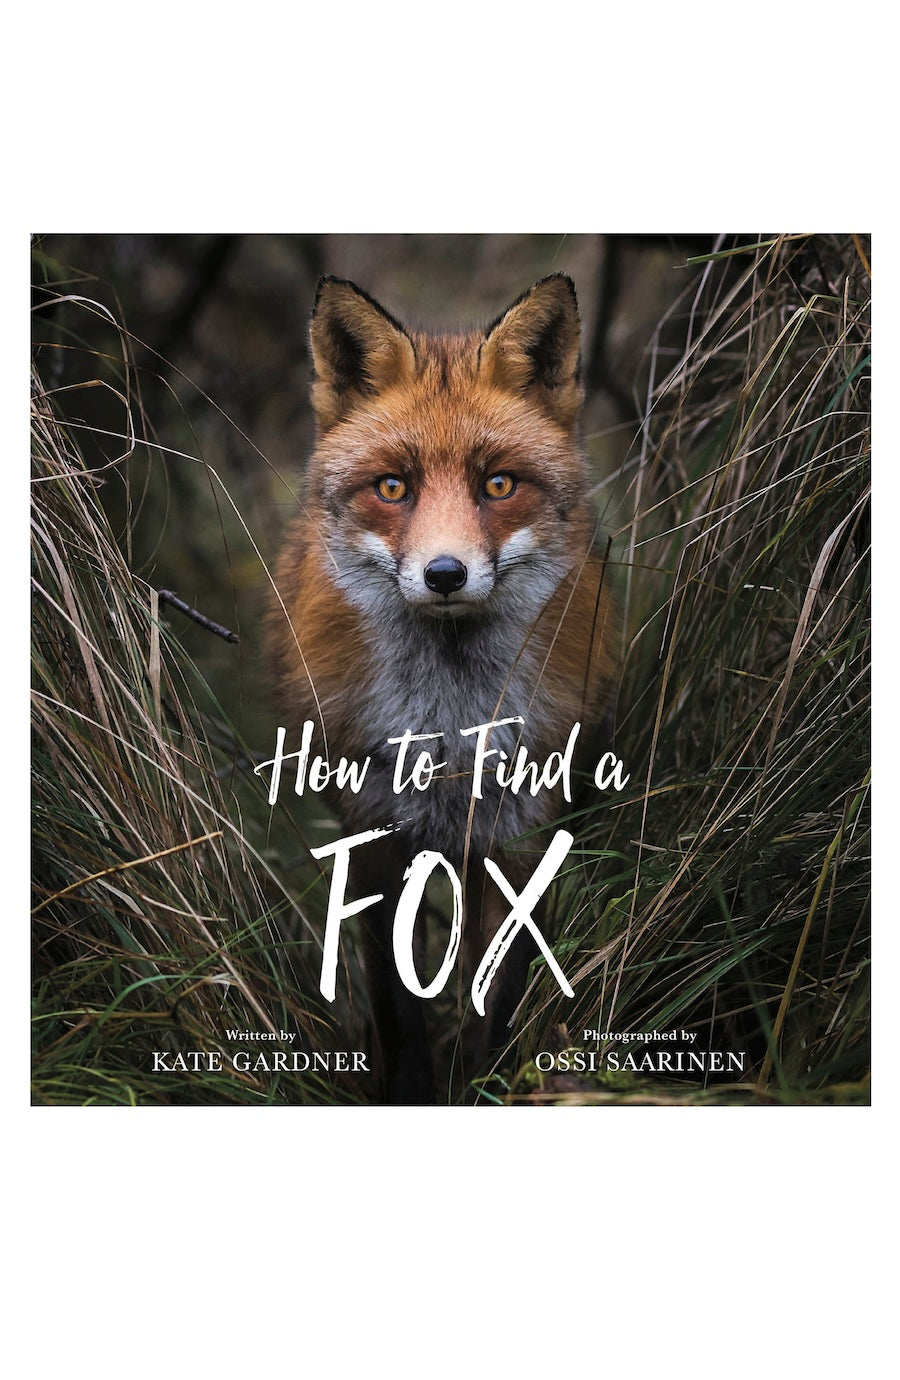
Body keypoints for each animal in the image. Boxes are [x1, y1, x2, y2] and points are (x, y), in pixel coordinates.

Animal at [266, 273, 616, 1103]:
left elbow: (499, 994)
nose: (446, 574)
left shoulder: (520, 835)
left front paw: (487, 1083)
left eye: (498, 484)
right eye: (393, 487)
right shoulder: (374, 834)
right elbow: (398, 1002)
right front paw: (413, 1090)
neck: (450, 728)